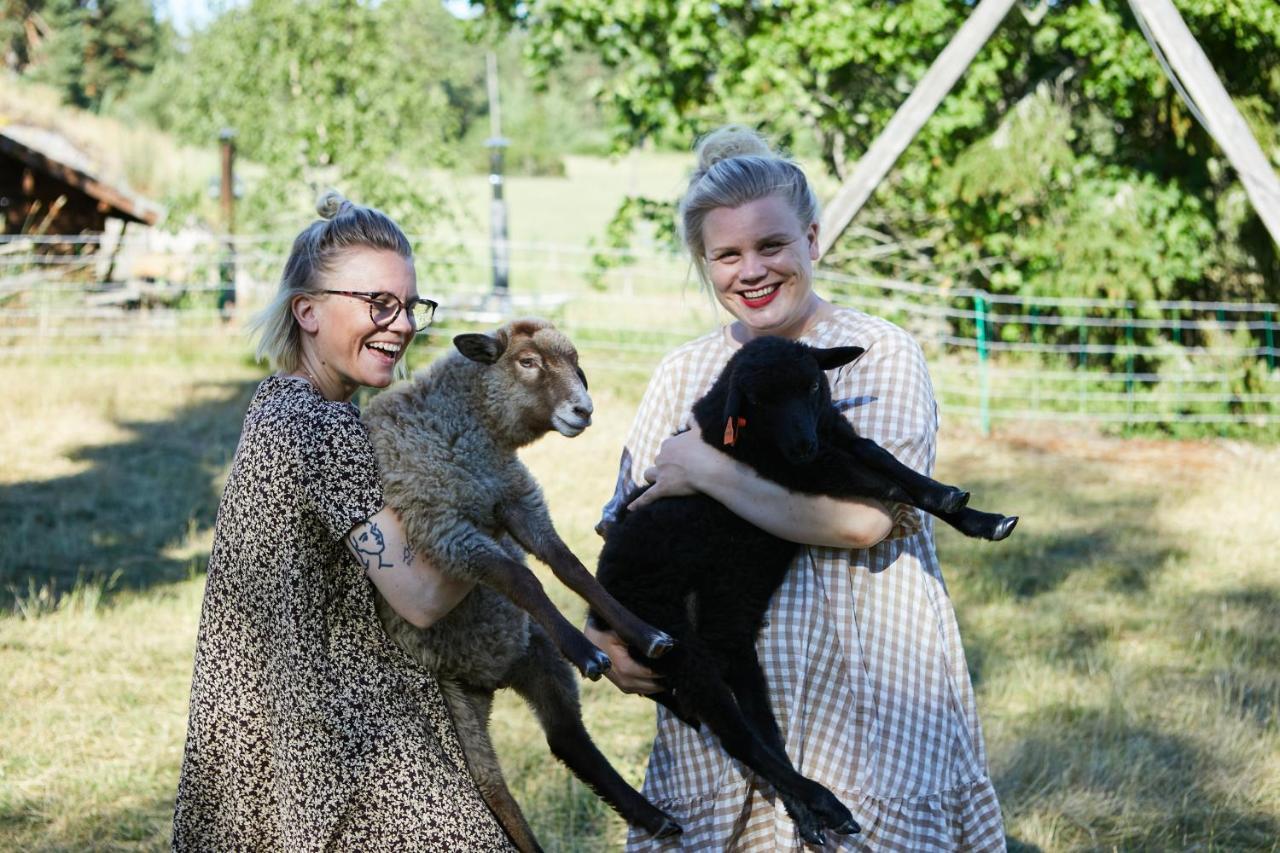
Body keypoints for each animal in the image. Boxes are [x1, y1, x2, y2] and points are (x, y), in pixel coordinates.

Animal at [591, 333, 1018, 845]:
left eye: (813, 384)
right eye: (758, 400)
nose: (801, 445)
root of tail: (599, 610)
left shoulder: (834, 432)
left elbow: (881, 456)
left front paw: (977, 515)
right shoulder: (799, 469)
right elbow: (874, 480)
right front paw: (944, 499)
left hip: (728, 636)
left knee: (760, 733)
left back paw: (810, 815)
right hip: (672, 638)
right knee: (738, 737)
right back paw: (825, 804)